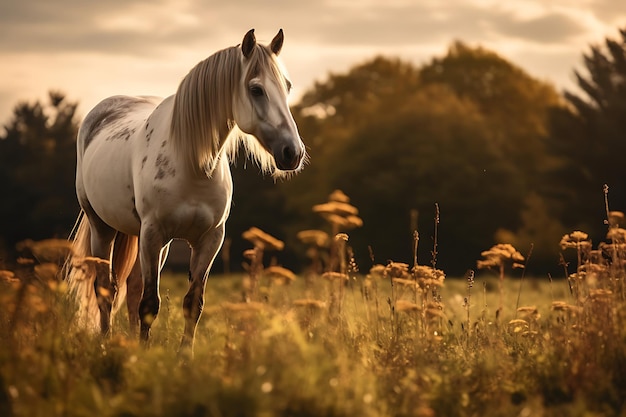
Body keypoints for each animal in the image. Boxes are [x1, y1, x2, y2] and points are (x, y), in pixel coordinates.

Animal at [65, 27, 304, 350]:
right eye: (256, 89)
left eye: (287, 86)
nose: (293, 153)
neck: (194, 166)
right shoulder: (153, 234)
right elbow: (150, 303)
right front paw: (145, 354)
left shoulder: (209, 239)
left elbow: (192, 303)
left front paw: (182, 355)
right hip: (103, 228)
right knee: (106, 288)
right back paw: (105, 342)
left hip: (145, 238)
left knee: (132, 288)